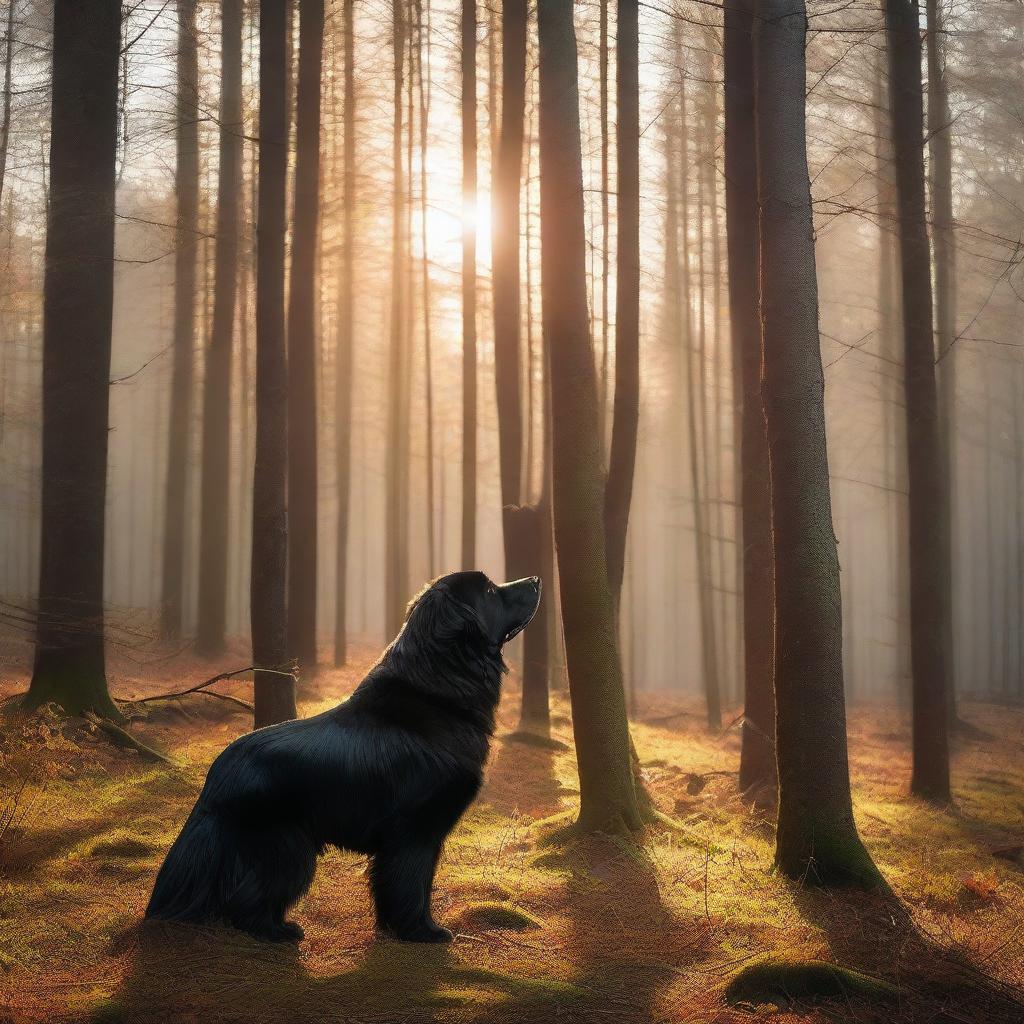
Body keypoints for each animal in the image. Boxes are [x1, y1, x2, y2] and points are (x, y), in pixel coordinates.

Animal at [148, 573, 544, 937]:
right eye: (490, 590)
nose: (537, 579)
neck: (440, 690)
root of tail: (217, 773)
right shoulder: (416, 828)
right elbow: (412, 883)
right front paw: (422, 932)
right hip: (287, 845)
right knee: (251, 894)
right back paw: (279, 931)